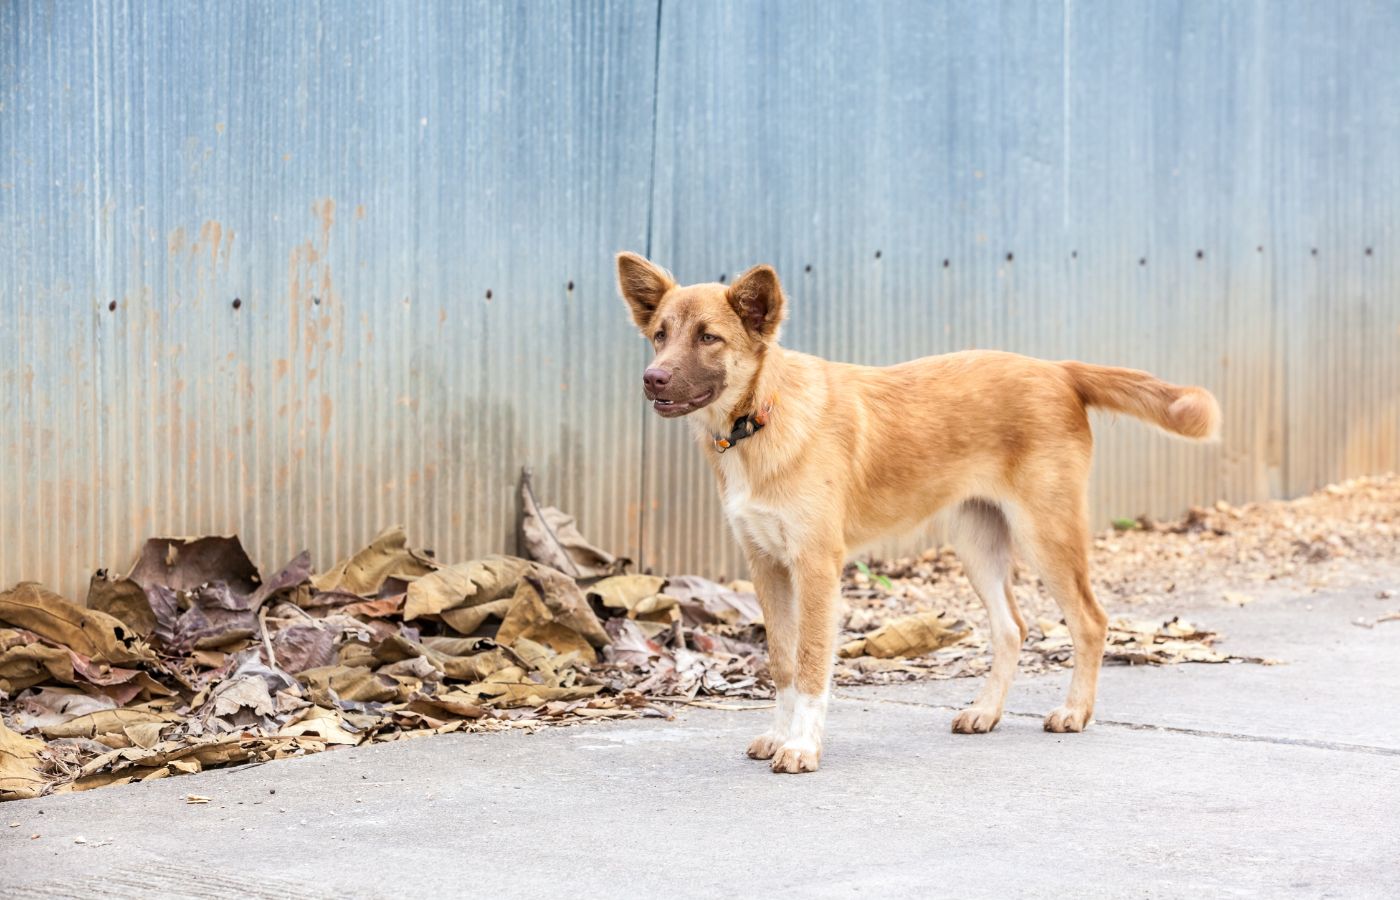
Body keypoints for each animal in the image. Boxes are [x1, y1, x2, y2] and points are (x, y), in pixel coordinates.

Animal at [618, 253, 1220, 772]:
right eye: (660, 335)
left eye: (709, 337)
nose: (652, 378)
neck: (761, 415)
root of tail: (1058, 370)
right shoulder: (766, 565)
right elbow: (783, 663)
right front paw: (780, 734)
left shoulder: (816, 567)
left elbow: (811, 663)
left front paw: (803, 747)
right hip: (977, 541)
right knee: (1012, 628)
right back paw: (986, 712)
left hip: (1046, 532)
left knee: (1090, 620)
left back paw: (1075, 712)